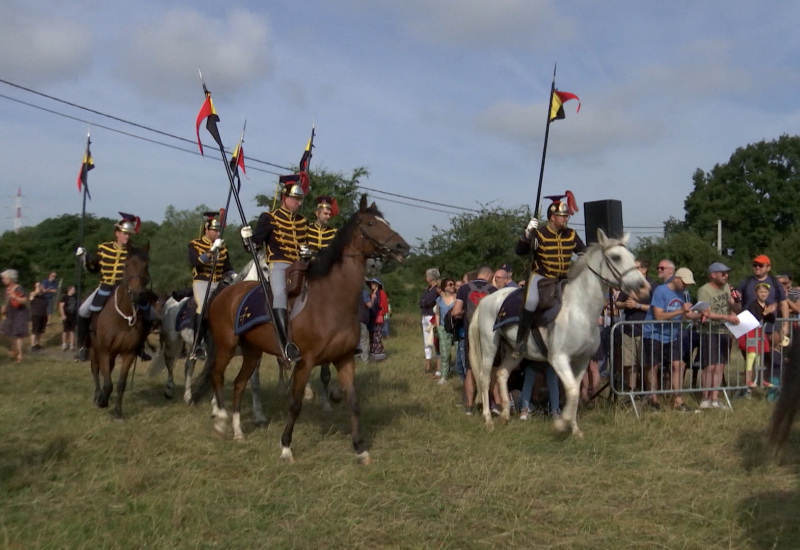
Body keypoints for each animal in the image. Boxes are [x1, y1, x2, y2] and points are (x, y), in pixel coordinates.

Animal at [91, 246, 152, 418]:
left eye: (146, 266)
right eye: (127, 265)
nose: (137, 294)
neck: (123, 317)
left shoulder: (128, 354)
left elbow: (120, 383)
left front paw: (117, 411)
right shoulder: (104, 351)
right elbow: (108, 383)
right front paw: (102, 401)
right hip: (94, 349)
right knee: (95, 369)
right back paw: (98, 395)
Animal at [206, 196, 410, 464]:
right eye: (369, 223)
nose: (402, 247)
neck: (331, 299)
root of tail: (225, 293)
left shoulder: (345, 359)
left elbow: (353, 402)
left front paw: (360, 448)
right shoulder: (305, 362)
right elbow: (295, 404)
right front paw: (285, 448)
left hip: (252, 352)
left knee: (240, 383)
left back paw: (238, 432)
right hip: (226, 346)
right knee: (217, 376)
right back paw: (220, 421)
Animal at [468, 231, 648, 438]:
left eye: (632, 257)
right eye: (616, 257)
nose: (644, 288)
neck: (579, 309)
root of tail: (487, 300)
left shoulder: (582, 361)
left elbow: (574, 392)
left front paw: (574, 429)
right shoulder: (559, 359)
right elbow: (572, 391)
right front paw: (562, 424)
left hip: (515, 351)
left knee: (502, 374)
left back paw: (505, 415)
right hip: (489, 345)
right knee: (484, 378)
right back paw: (489, 420)